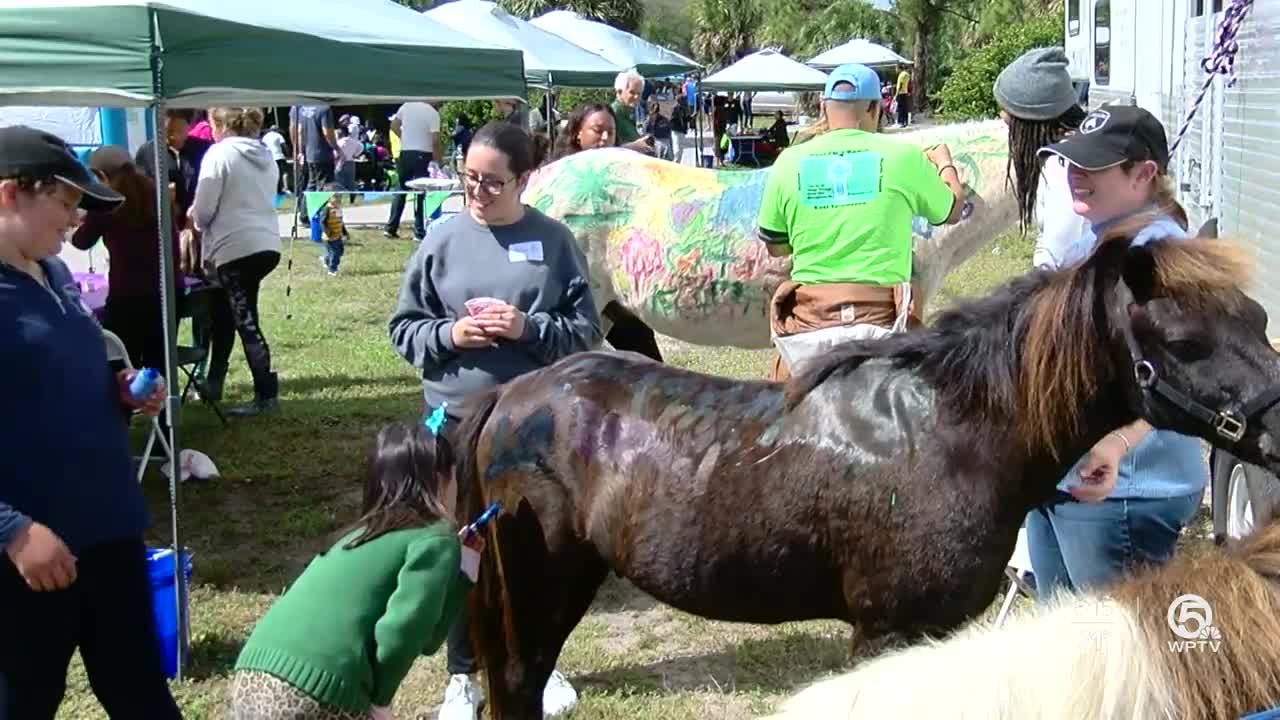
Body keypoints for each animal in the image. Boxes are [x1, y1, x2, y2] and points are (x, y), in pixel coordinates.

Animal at [448, 226, 1280, 712]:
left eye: (1258, 317)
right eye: (1186, 341)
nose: (1278, 428)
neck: (951, 429)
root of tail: (508, 398)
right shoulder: (889, 631)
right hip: (536, 588)